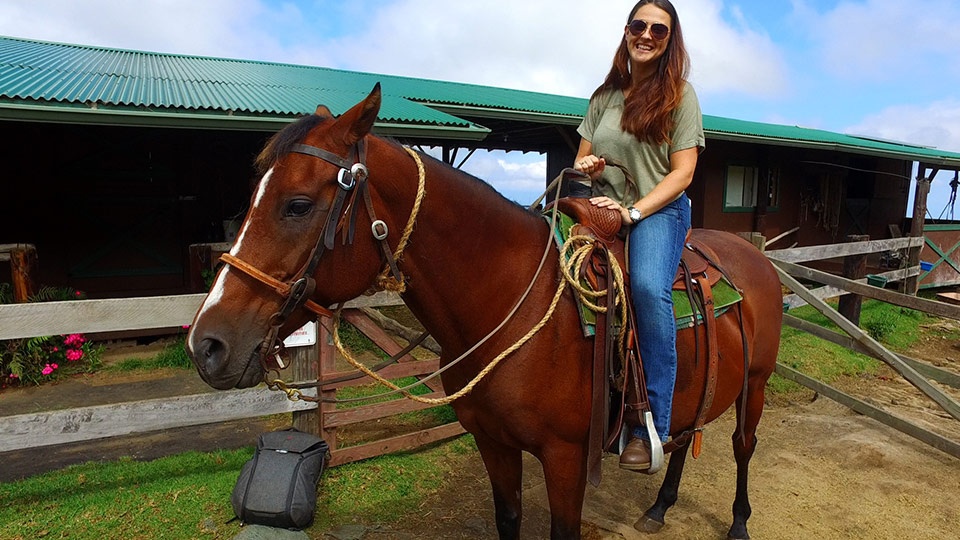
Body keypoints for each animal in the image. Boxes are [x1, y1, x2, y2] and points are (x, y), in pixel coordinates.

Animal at [186, 85, 780, 540]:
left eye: (298, 205)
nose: (206, 345)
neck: (509, 307)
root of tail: (755, 255)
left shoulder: (566, 461)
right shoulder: (494, 445)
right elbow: (508, 519)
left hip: (755, 383)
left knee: (742, 445)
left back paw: (739, 523)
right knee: (683, 435)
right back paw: (659, 506)